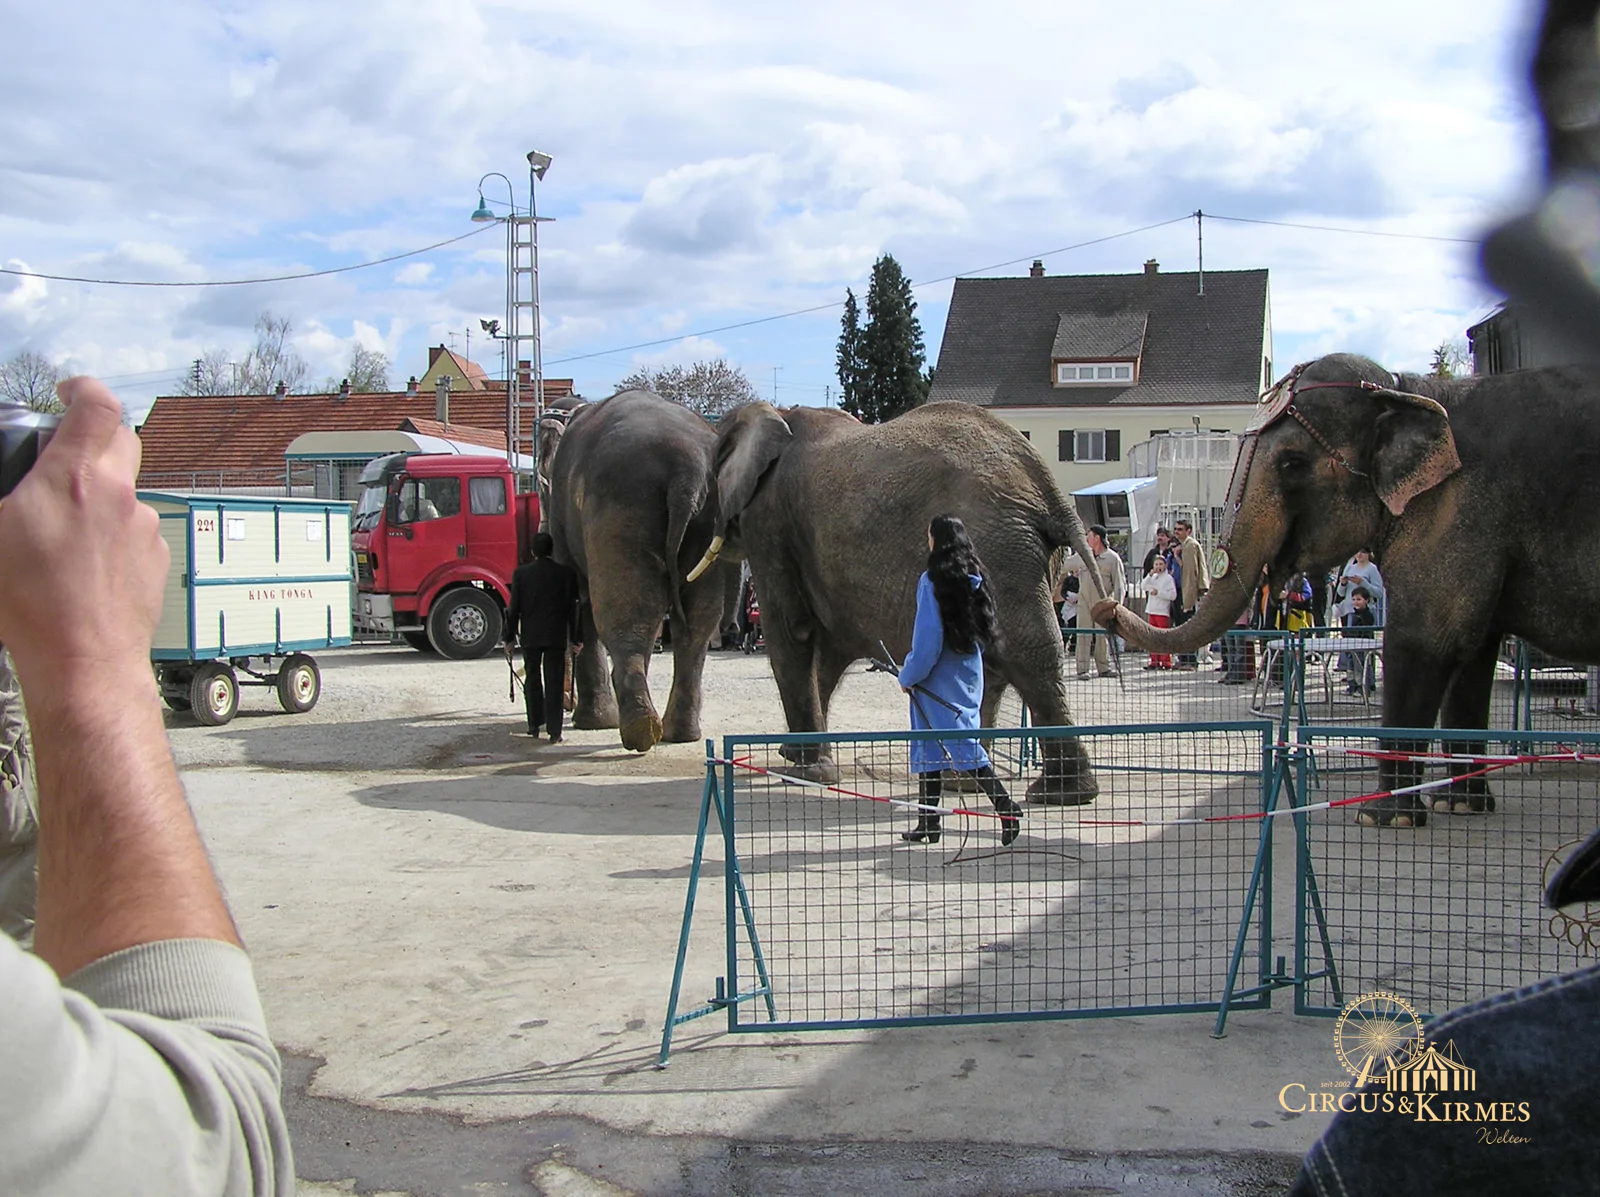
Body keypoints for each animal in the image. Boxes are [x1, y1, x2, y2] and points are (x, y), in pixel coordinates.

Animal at [539, 389, 736, 751]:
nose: (565, 703)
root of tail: (687, 469)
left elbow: (578, 598)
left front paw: (593, 724)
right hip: (706, 518)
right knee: (696, 621)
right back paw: (677, 734)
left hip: (622, 504)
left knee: (626, 612)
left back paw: (639, 731)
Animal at [687, 400, 1108, 803]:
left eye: (712, 480)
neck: (776, 412)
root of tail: (1047, 487)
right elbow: (829, 651)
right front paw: (793, 757)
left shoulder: (771, 520)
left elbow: (795, 632)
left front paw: (806, 772)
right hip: (1018, 555)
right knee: (993, 658)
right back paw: (970, 784)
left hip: (997, 551)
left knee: (1026, 653)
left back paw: (1057, 794)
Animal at [1092, 352, 1600, 826]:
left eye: (1293, 463)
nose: (1107, 607)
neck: (1405, 390)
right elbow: (1473, 656)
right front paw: (1458, 805)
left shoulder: (1460, 513)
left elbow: (1421, 643)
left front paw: (1383, 817)